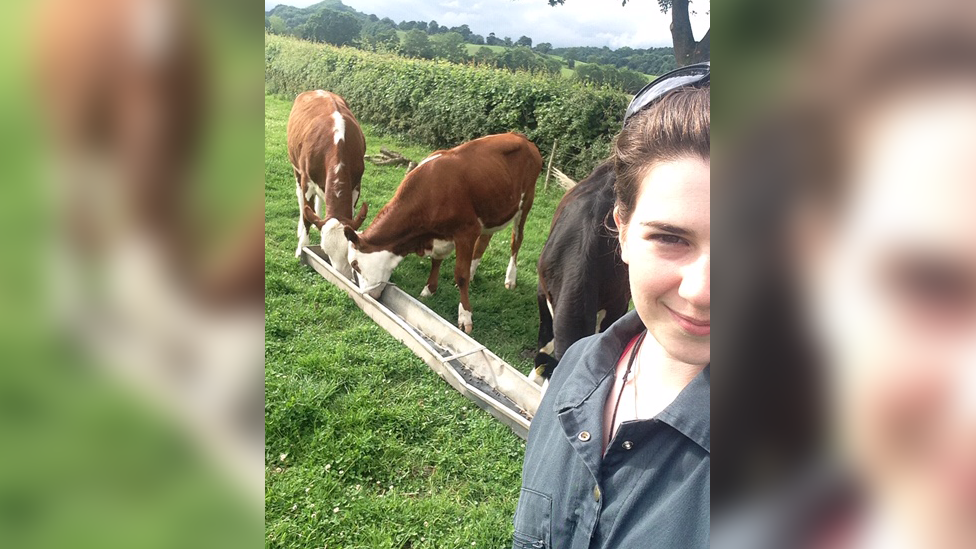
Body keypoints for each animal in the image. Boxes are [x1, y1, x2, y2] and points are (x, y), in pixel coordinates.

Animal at [290, 91, 370, 278]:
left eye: (349, 250)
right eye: (325, 251)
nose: (343, 276)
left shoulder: (357, 184)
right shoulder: (307, 181)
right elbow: (306, 216)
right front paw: (301, 248)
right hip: (296, 169)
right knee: (301, 200)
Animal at [344, 133, 544, 332]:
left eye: (354, 264)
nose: (367, 295)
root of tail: (519, 136)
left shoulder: (466, 231)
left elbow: (460, 275)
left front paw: (465, 316)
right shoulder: (439, 235)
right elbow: (436, 260)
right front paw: (429, 289)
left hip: (526, 203)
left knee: (516, 240)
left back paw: (510, 278)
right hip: (492, 209)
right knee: (485, 239)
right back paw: (474, 271)